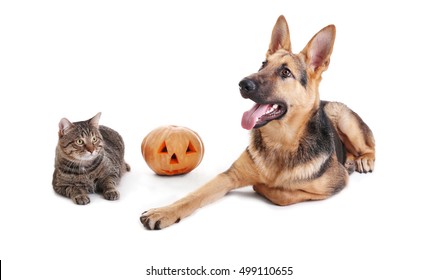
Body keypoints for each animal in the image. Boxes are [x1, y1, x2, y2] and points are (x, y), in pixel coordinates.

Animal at [141, 14, 376, 230]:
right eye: (263, 65)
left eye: (285, 72)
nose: (242, 84)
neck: (281, 142)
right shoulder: (228, 176)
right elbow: (193, 195)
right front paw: (164, 211)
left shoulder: (334, 184)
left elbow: (283, 194)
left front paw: (263, 187)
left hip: (341, 116)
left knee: (369, 146)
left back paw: (362, 160)